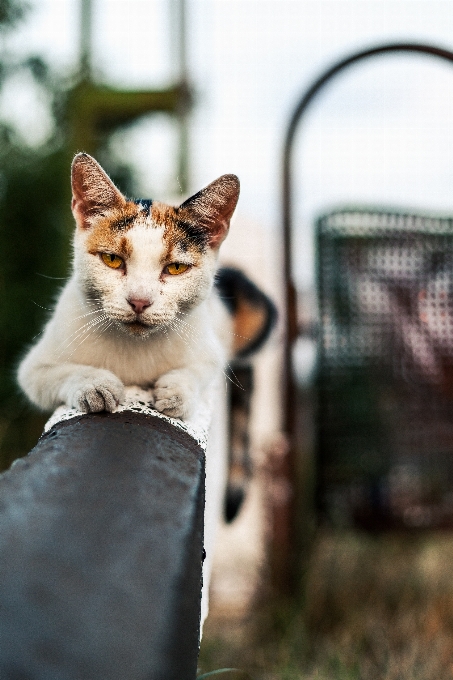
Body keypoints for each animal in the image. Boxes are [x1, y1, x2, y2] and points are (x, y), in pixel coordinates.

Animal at [16, 153, 240, 420]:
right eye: (112, 259)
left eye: (175, 267)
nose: (139, 301)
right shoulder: (33, 368)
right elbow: (58, 373)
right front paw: (93, 385)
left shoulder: (210, 355)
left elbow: (198, 372)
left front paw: (177, 392)